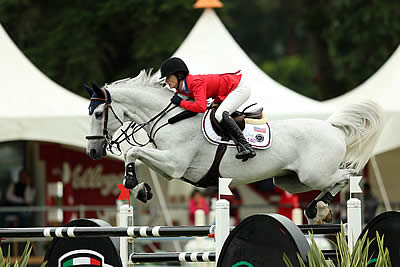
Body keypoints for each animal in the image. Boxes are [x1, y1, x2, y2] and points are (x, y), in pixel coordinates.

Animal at [86, 69, 382, 224]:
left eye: (98, 114)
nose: (93, 152)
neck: (168, 118)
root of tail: (332, 128)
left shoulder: (174, 164)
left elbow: (132, 151)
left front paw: (135, 185)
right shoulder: (170, 168)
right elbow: (133, 153)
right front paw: (141, 188)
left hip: (315, 174)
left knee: (345, 175)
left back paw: (320, 209)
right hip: (291, 180)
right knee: (327, 182)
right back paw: (317, 209)